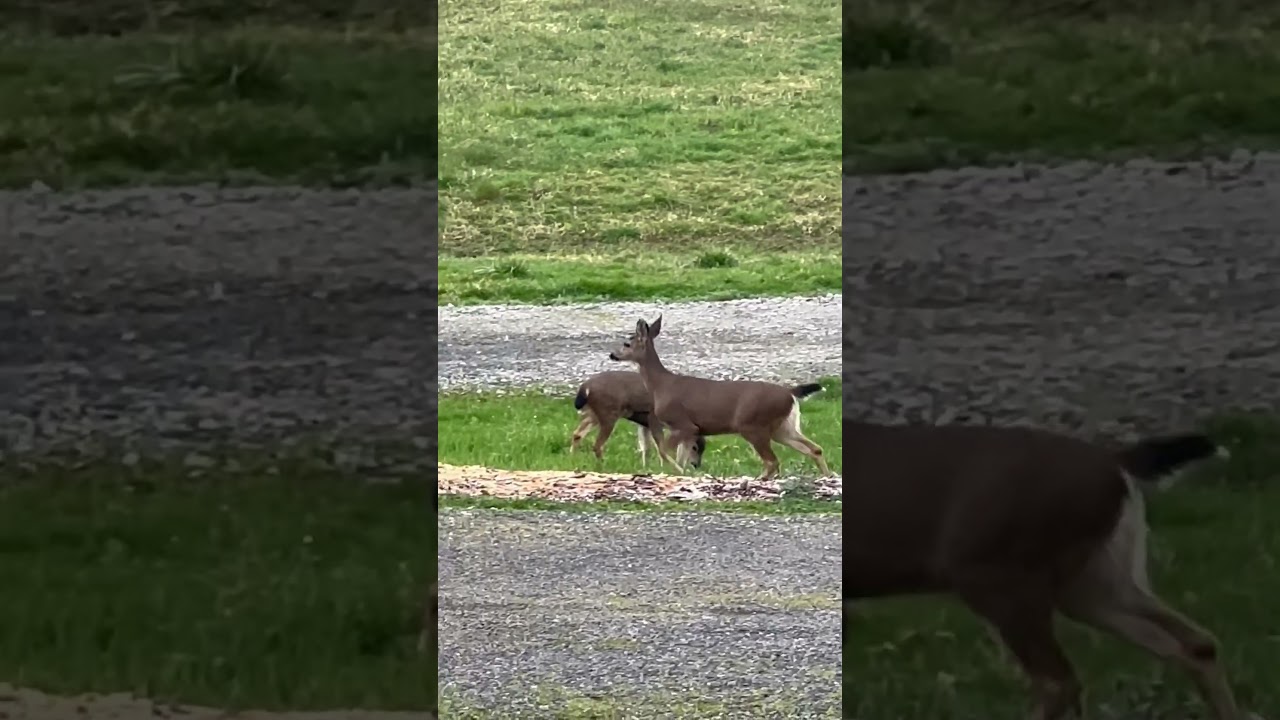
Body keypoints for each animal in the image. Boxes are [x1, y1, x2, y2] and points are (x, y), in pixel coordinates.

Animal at [569, 370, 707, 468]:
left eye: (703, 449)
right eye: (695, 447)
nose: (696, 465)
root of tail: (585, 388)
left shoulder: (644, 424)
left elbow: (646, 448)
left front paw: (647, 468)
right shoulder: (653, 418)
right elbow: (661, 449)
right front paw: (674, 469)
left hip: (594, 413)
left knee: (577, 434)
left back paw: (574, 458)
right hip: (608, 413)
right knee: (597, 445)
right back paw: (603, 465)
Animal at [607, 316, 830, 484]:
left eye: (626, 343)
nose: (612, 354)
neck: (661, 385)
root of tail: (791, 392)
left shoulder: (684, 424)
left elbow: (664, 450)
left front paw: (676, 470)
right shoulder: (688, 430)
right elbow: (682, 454)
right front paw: (682, 472)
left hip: (753, 425)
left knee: (773, 461)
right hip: (783, 427)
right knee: (814, 449)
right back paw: (828, 477)